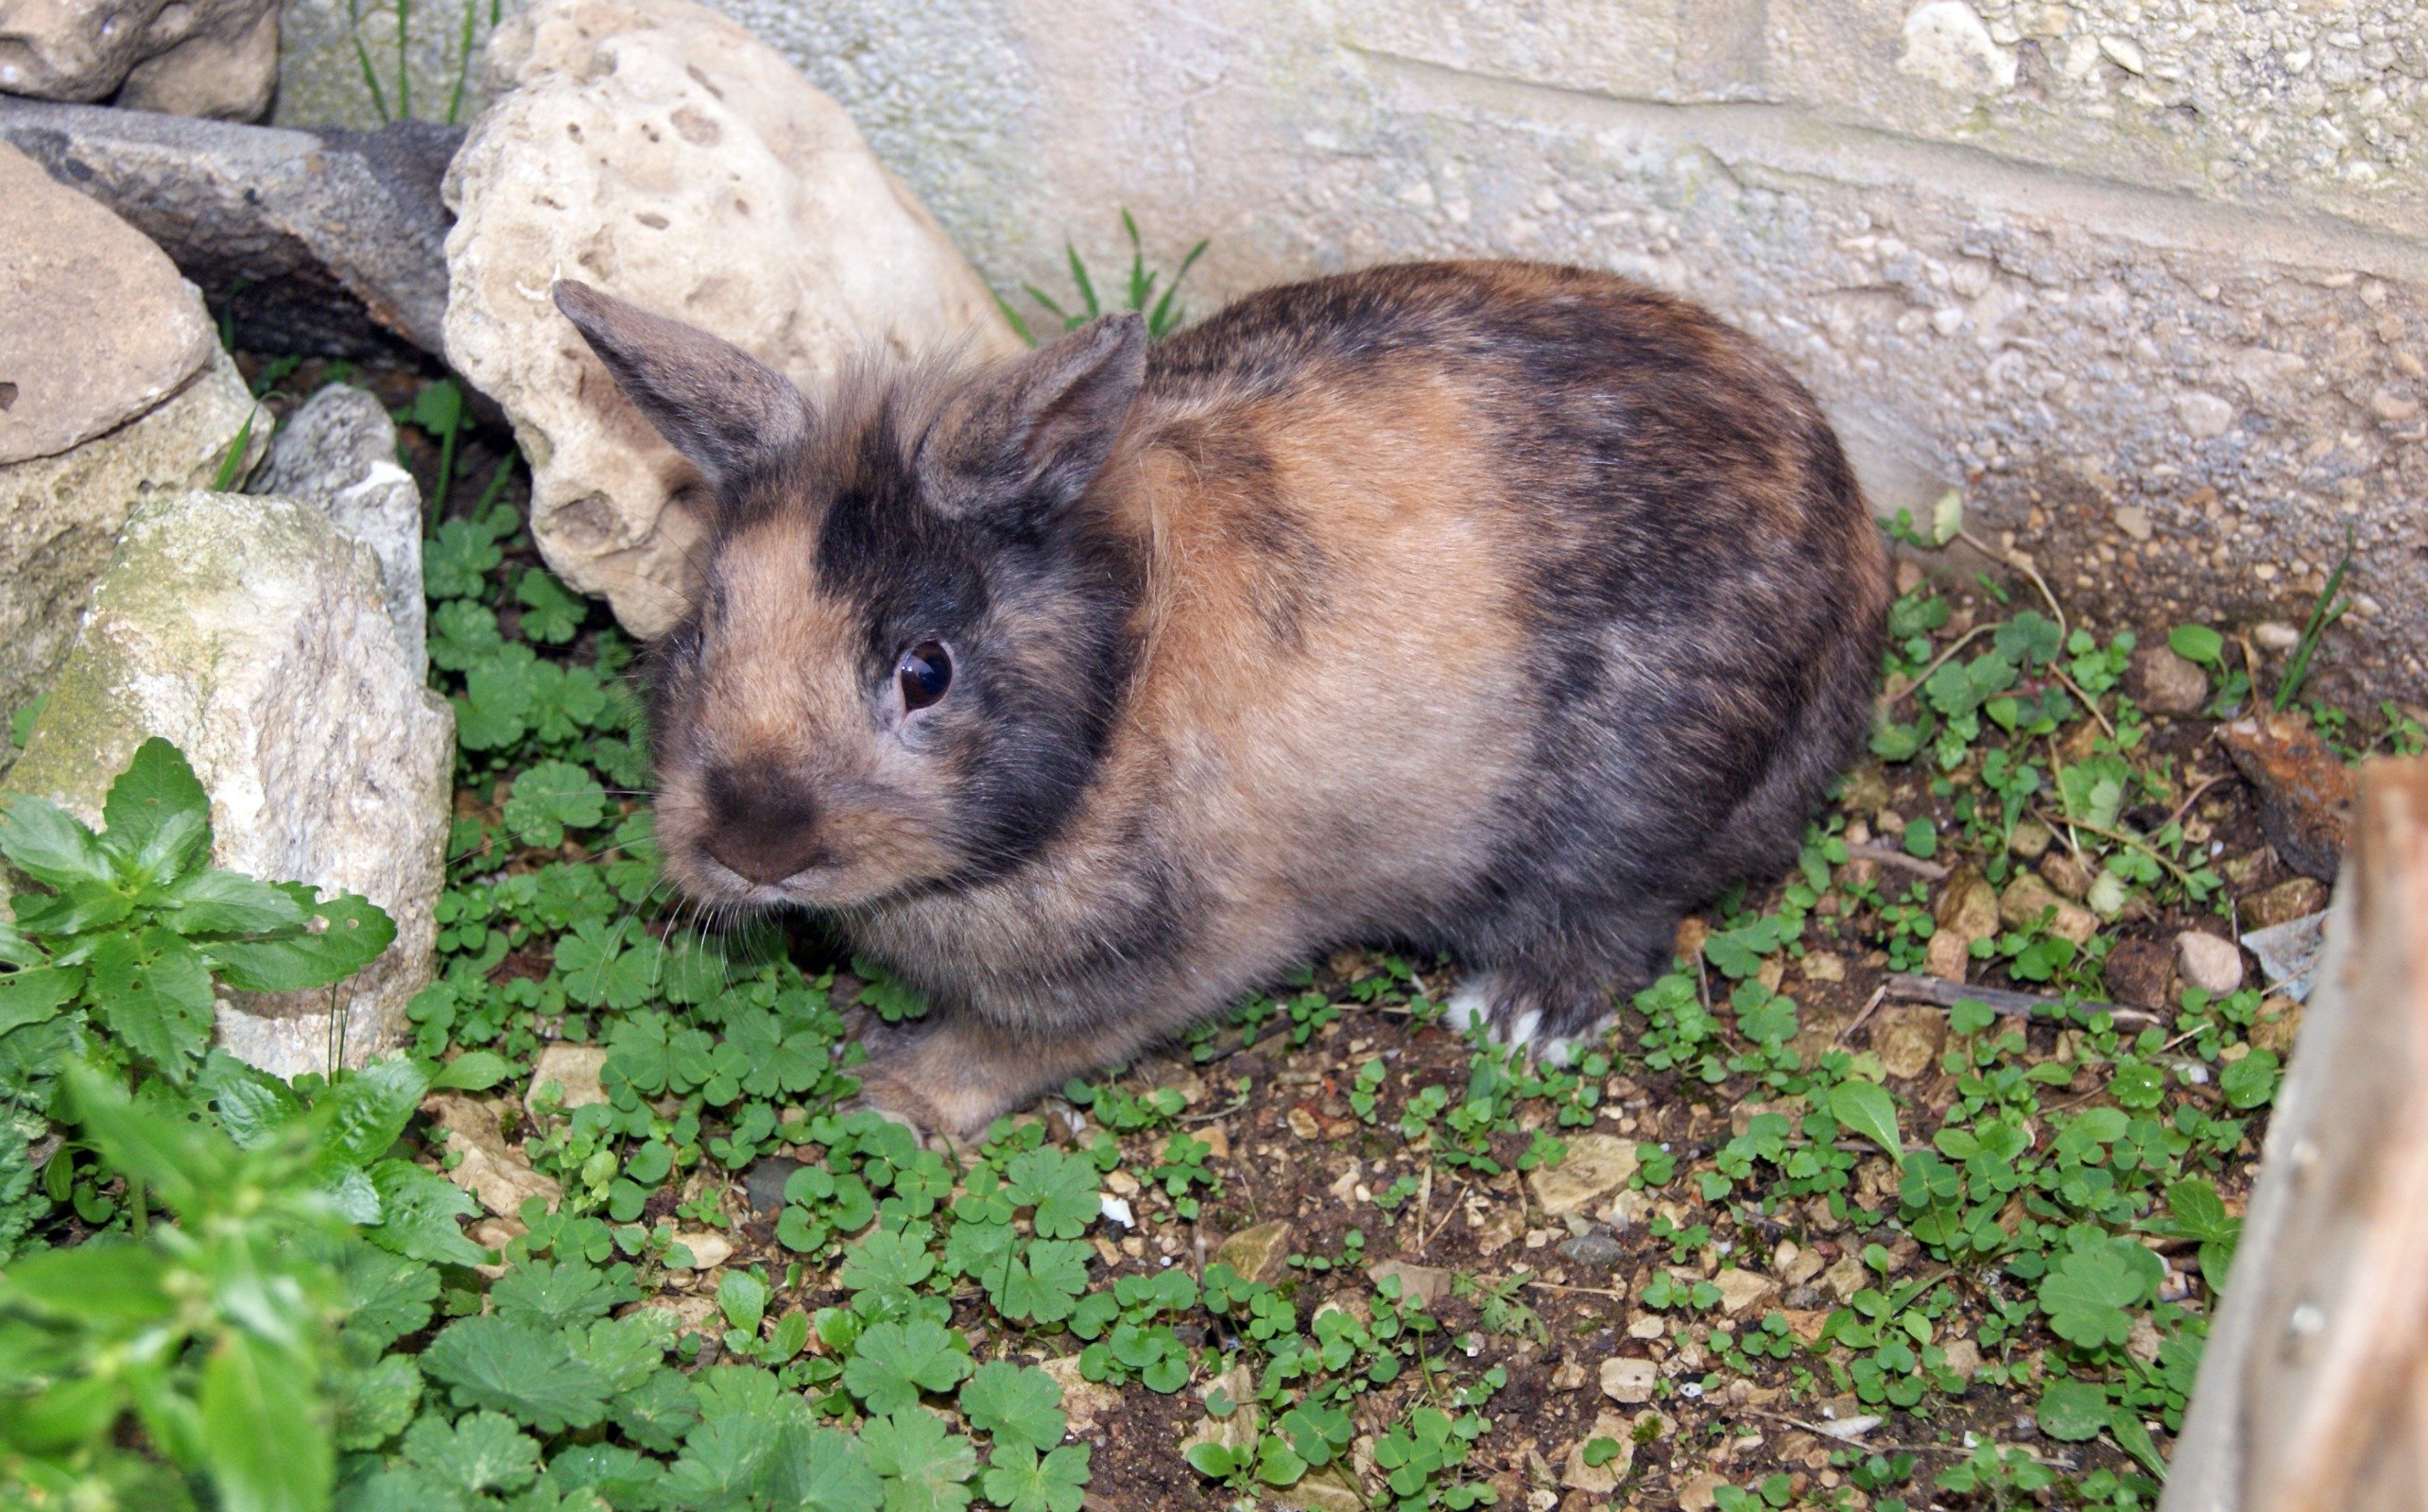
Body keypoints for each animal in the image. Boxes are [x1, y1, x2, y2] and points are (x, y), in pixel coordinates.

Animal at [556, 257, 1893, 1135]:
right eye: (703, 623)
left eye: (923, 671)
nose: (752, 843)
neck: (1111, 681)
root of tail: (1854, 569)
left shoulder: (1174, 957)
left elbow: (1012, 1046)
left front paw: (891, 1093)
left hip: (1623, 815)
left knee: (1625, 920)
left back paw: (1517, 1012)